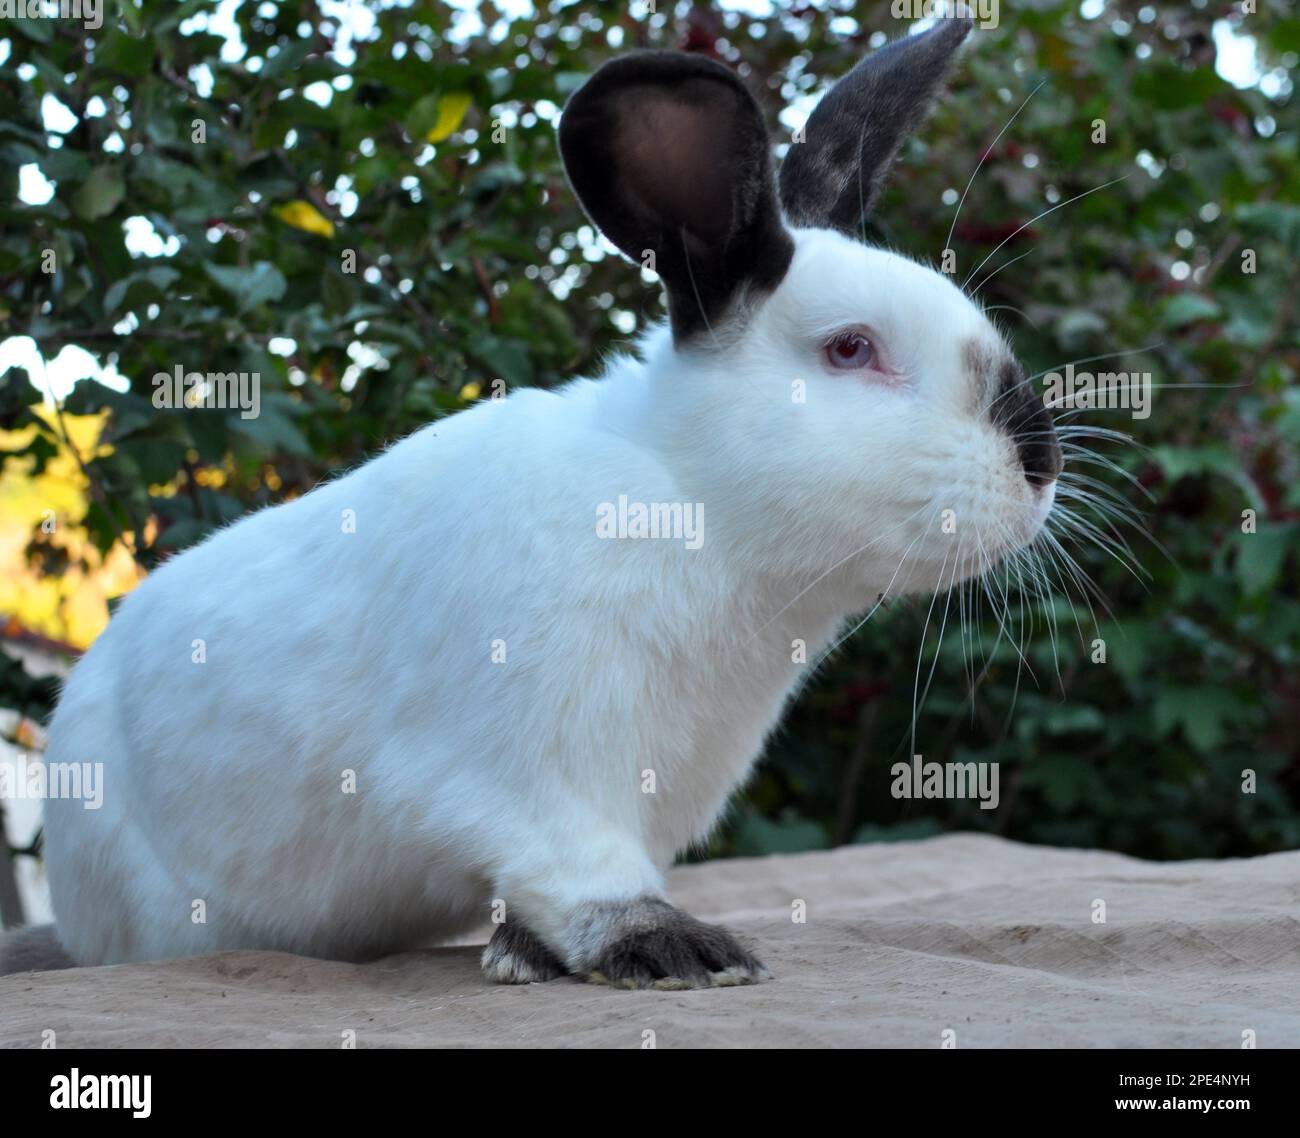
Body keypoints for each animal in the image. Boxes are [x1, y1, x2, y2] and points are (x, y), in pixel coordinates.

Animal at [3, 16, 1061, 989]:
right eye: (850, 349)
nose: (1040, 461)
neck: (690, 507)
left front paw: (525, 954)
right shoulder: (542, 779)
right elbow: (583, 876)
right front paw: (677, 952)